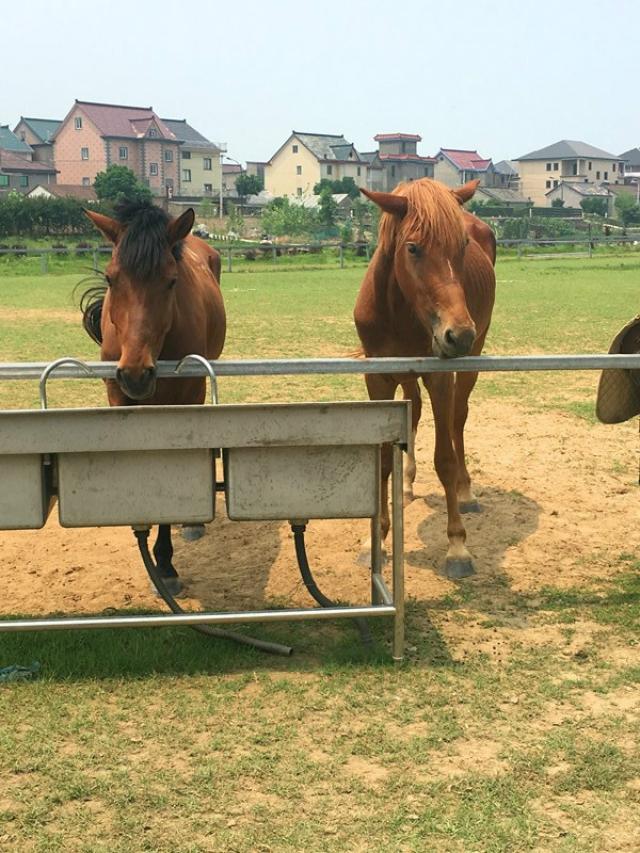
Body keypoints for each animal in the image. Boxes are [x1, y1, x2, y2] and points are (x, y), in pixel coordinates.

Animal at [83, 201, 225, 592]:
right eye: (111, 279)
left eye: (171, 280)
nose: (136, 373)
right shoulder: (118, 398)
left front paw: (164, 566)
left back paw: (192, 524)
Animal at [356, 179, 496, 580]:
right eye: (413, 247)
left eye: (462, 246)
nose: (459, 334)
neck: (401, 311)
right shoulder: (379, 379)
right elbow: (383, 458)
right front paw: (377, 541)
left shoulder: (439, 376)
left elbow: (445, 458)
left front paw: (457, 547)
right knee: (414, 412)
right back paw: (406, 484)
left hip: (471, 362)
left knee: (458, 419)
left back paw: (466, 493)